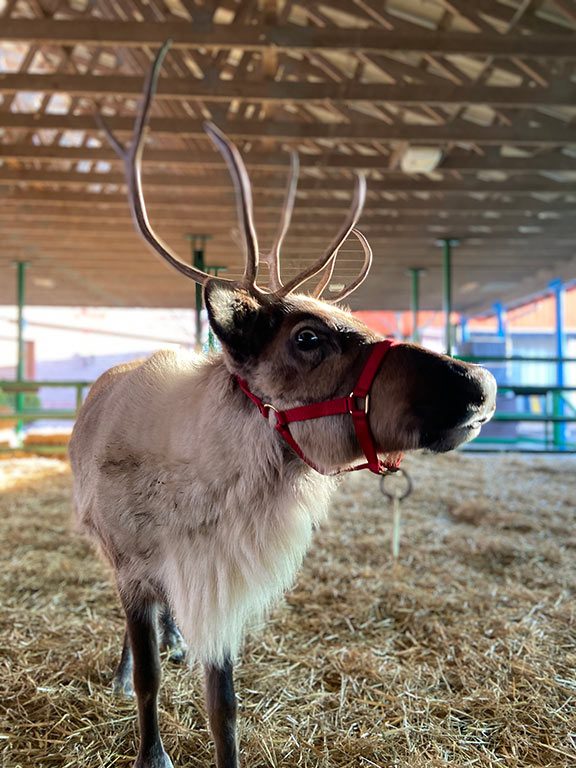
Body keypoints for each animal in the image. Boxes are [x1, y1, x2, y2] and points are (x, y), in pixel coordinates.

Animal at [69, 42, 496, 768]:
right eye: (308, 336)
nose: (482, 384)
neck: (205, 491)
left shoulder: (216, 580)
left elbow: (224, 710)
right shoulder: (135, 569)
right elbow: (150, 681)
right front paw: (150, 746)